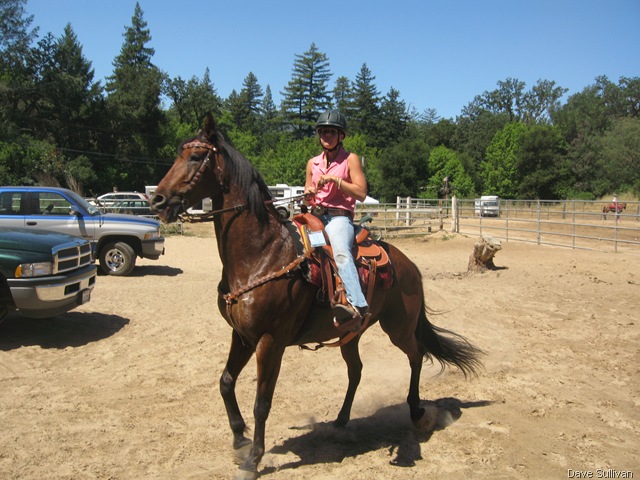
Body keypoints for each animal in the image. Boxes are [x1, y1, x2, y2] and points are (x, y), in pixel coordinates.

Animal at [150, 113, 483, 480]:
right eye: (179, 153)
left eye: (196, 156)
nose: (157, 201)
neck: (261, 254)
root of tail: (408, 264)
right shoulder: (242, 335)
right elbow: (225, 382)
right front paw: (239, 439)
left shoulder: (271, 341)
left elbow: (262, 402)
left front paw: (253, 459)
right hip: (352, 333)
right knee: (357, 370)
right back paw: (340, 421)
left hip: (399, 326)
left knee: (416, 355)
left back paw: (416, 412)